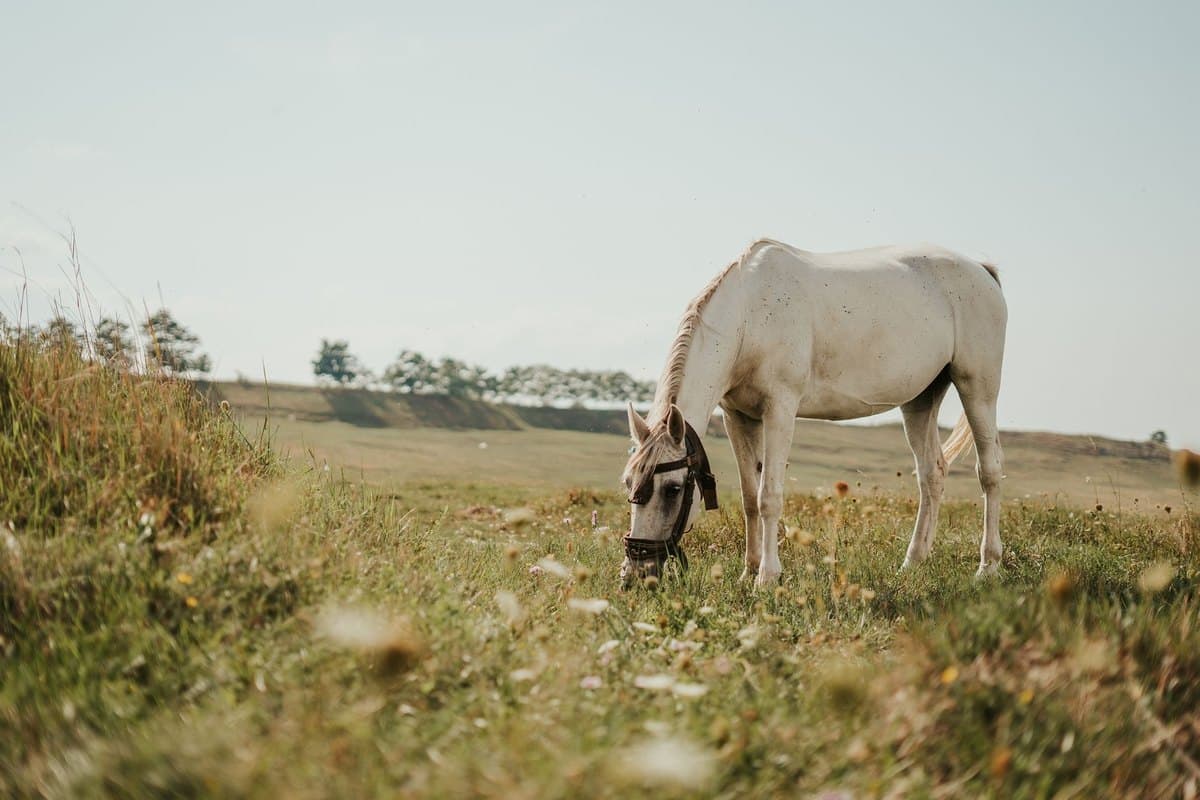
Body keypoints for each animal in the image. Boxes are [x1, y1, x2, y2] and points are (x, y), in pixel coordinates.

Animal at [620, 238, 1007, 588]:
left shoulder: (780, 409)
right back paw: (912, 563)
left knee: (989, 472)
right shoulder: (738, 417)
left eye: (672, 489)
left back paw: (987, 567)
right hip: (920, 399)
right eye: (628, 481)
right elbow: (749, 498)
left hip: (977, 388)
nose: (636, 574)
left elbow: (768, 496)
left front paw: (767, 577)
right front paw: (749, 571)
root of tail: (981, 270)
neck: (749, 317)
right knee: (931, 475)